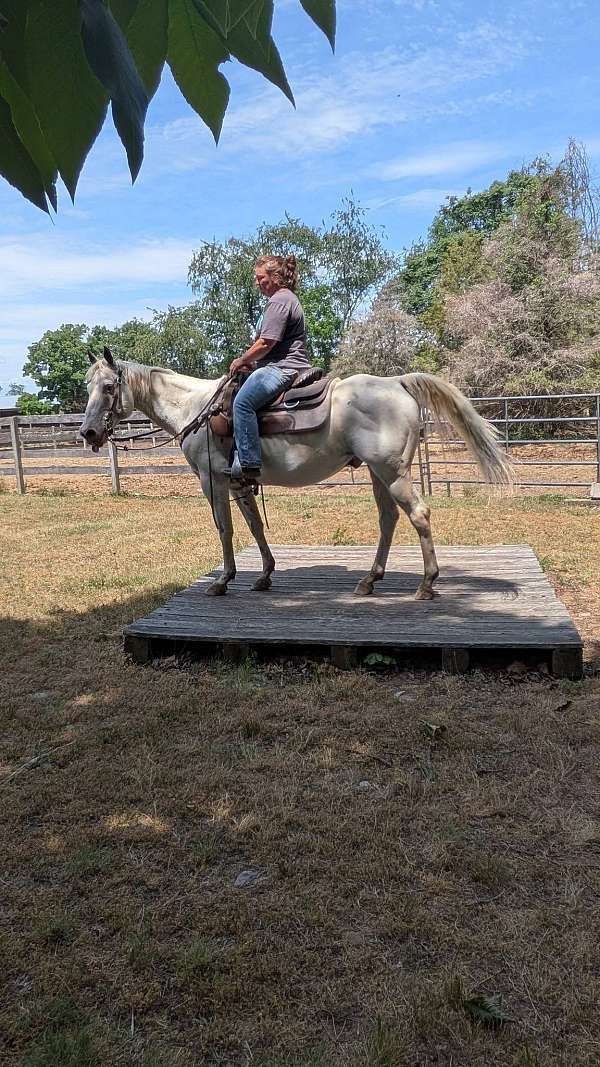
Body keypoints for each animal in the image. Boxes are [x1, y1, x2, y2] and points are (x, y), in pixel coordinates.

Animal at [81, 349, 511, 599]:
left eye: (108, 387)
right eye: (88, 386)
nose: (88, 433)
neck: (195, 409)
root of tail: (396, 382)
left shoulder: (211, 480)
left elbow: (225, 529)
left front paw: (223, 580)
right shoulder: (239, 482)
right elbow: (254, 526)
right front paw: (264, 575)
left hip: (393, 473)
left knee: (418, 516)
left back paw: (426, 584)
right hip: (379, 473)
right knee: (388, 519)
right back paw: (370, 580)